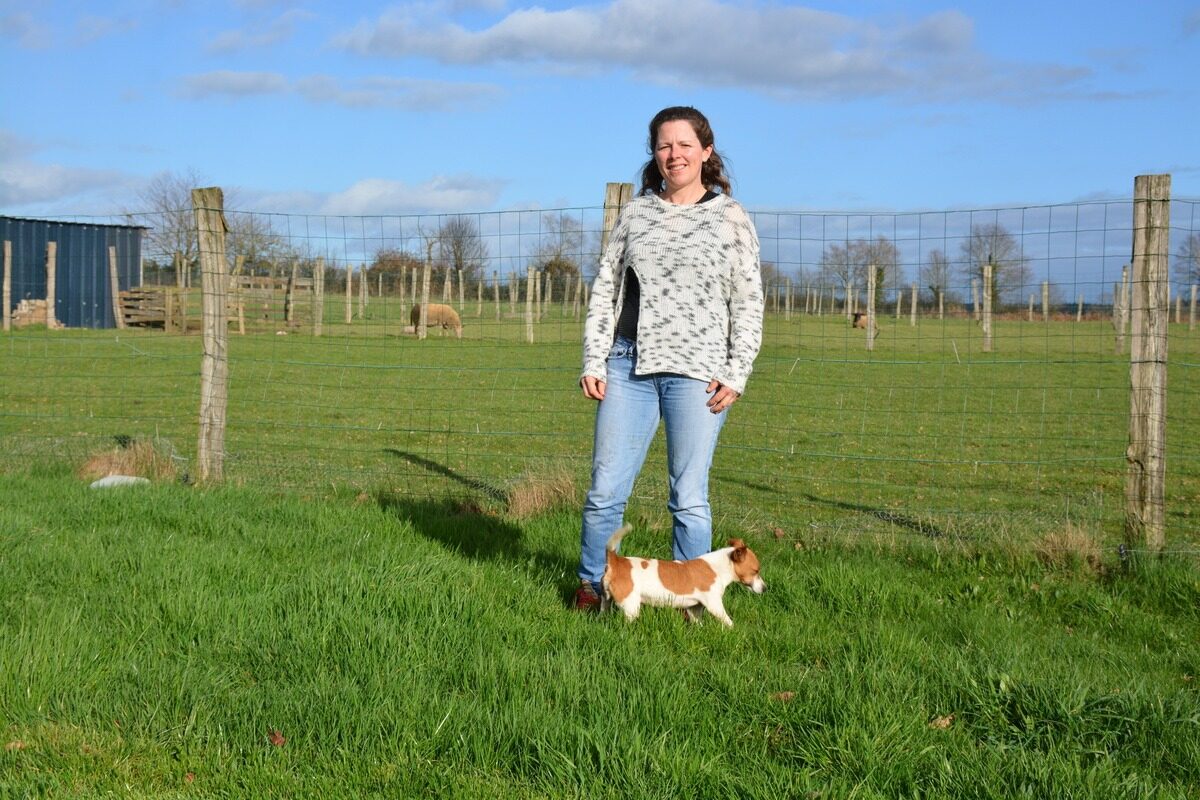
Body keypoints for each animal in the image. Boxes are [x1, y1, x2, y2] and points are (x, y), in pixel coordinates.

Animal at [600, 522, 768, 628]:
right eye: (756, 571)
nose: (766, 589)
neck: (719, 567)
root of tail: (616, 560)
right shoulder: (714, 604)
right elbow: (727, 621)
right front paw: (735, 630)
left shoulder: (695, 608)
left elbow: (697, 622)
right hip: (631, 606)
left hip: (605, 600)